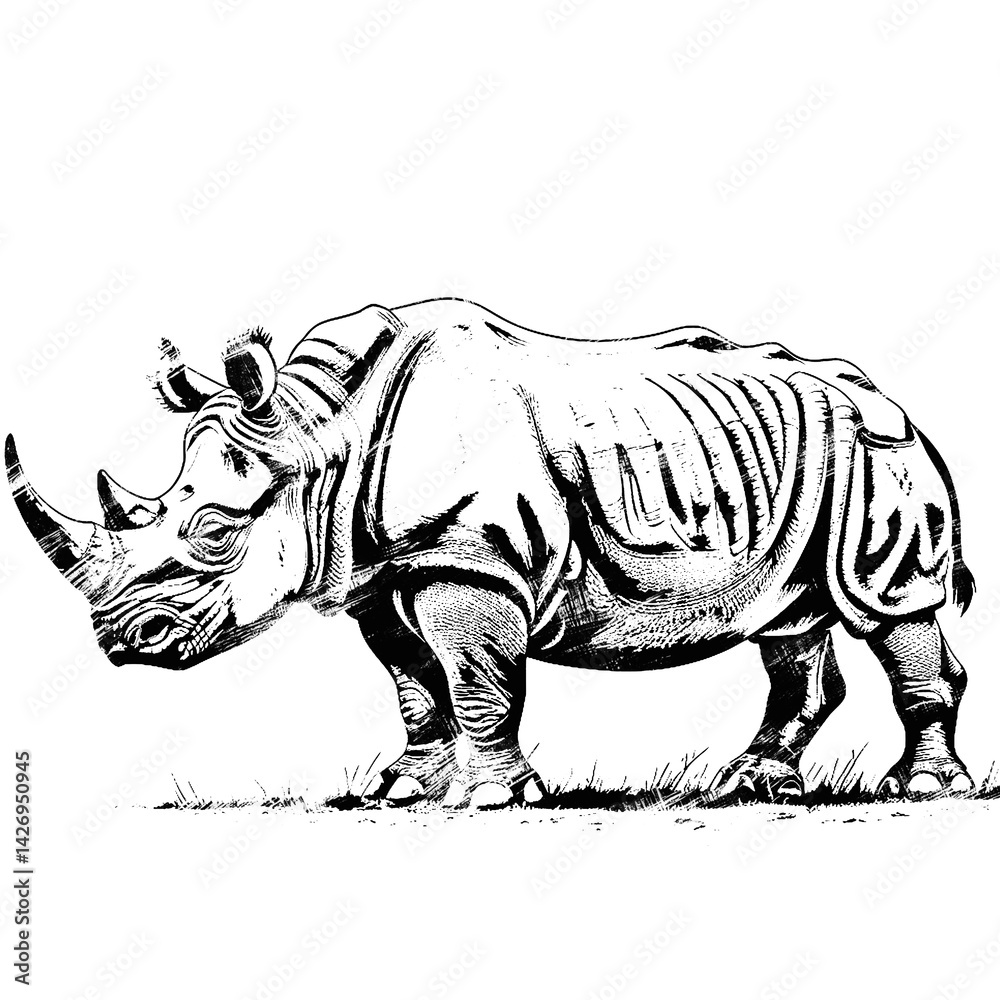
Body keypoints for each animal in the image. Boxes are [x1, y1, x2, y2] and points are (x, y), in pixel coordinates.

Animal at [7, 299, 976, 806]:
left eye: (212, 534)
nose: (120, 642)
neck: (322, 434)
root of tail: (890, 394)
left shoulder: (471, 556)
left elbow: (477, 677)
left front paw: (491, 798)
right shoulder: (379, 571)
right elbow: (412, 682)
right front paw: (403, 790)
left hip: (875, 454)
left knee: (888, 602)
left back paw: (923, 789)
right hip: (796, 462)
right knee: (790, 617)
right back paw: (747, 785)